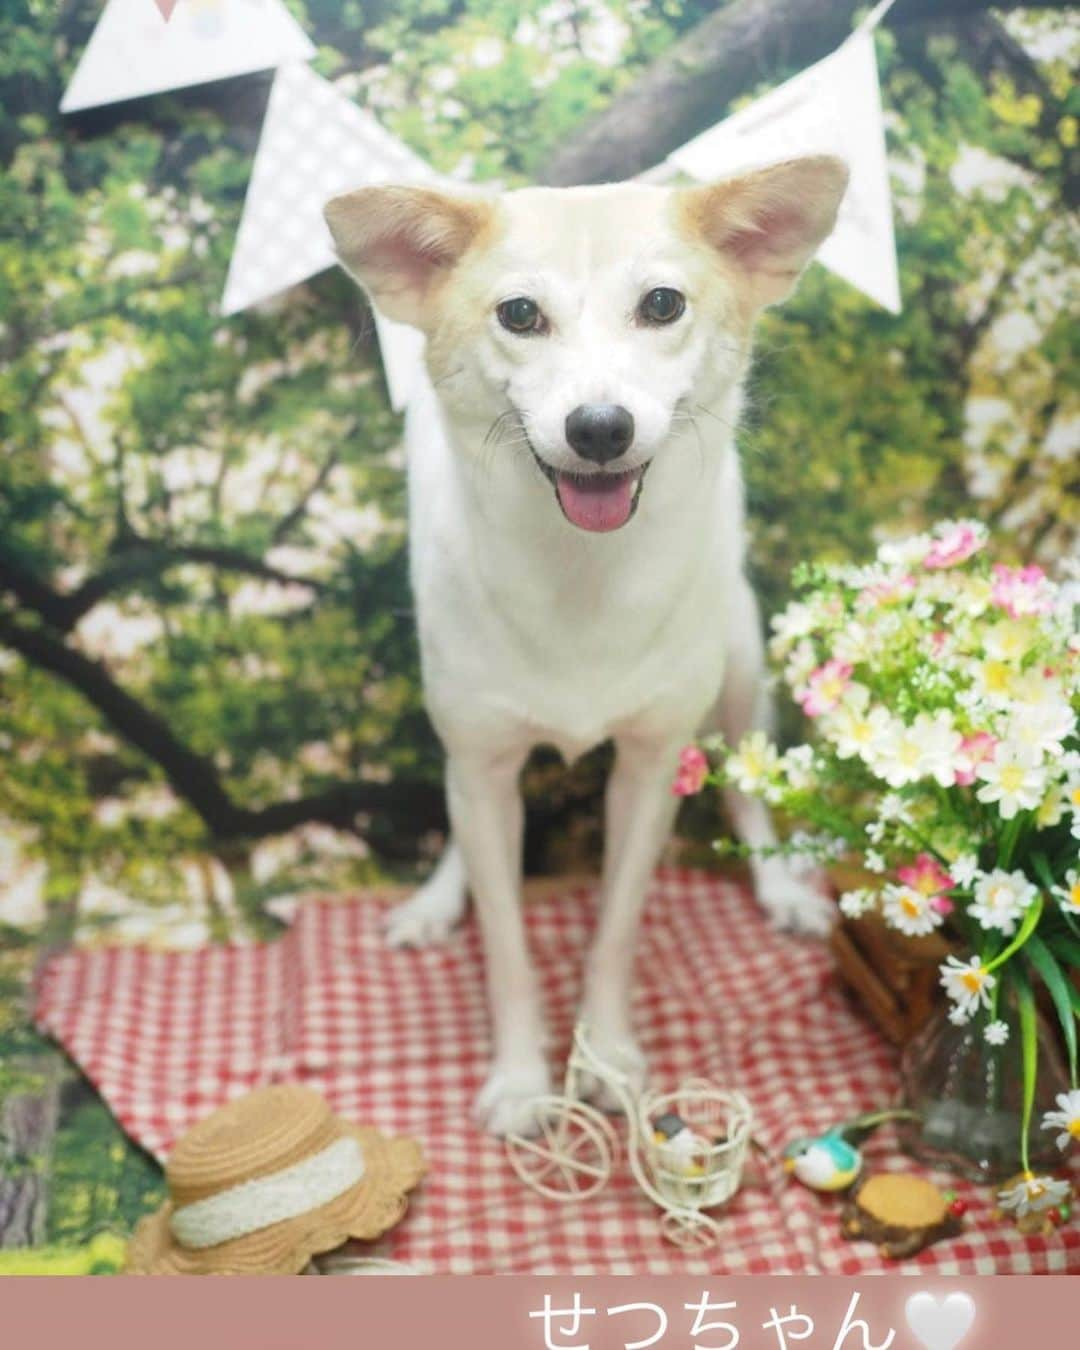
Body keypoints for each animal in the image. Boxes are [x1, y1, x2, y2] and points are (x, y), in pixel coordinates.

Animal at [325, 153, 847, 1134]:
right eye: (520, 314)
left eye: (663, 304)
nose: (599, 428)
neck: (582, 573)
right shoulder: (484, 764)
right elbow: (507, 948)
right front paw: (523, 1080)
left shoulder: (650, 768)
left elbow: (614, 931)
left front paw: (603, 1057)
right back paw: (436, 898)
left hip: (739, 667)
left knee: (746, 779)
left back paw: (782, 886)